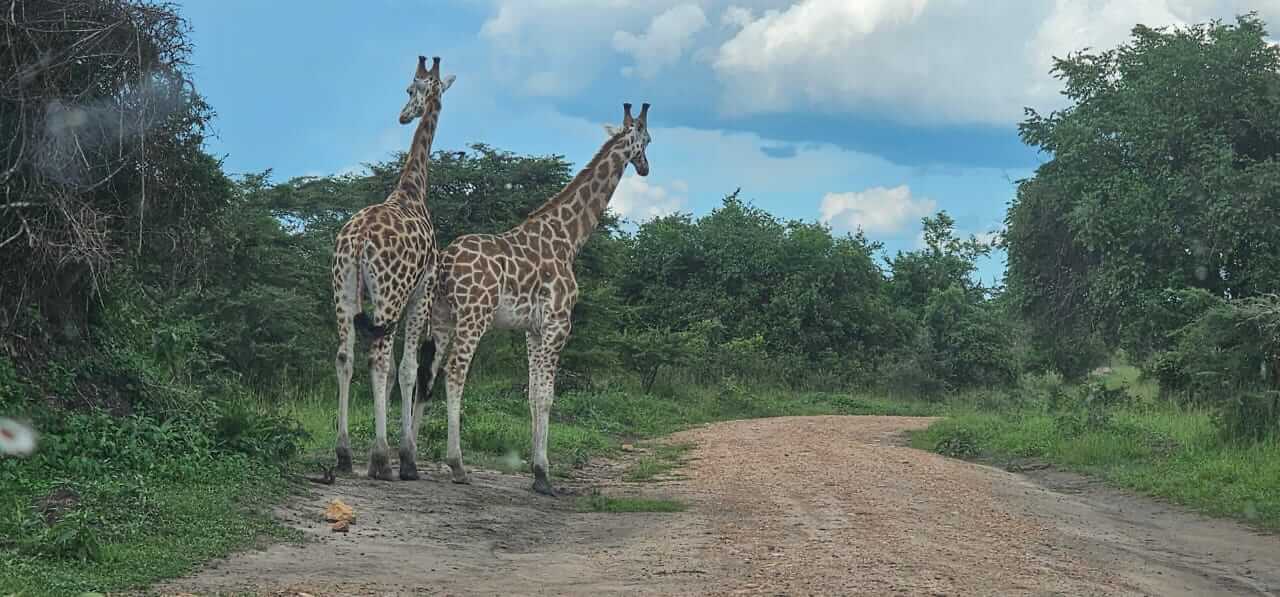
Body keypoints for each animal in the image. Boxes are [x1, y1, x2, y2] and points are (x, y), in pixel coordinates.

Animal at [330, 55, 454, 481]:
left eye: (412, 88)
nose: (403, 115)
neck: (412, 191)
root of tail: (358, 240)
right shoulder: (420, 291)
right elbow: (407, 369)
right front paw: (406, 458)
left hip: (343, 288)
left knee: (345, 357)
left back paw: (344, 454)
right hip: (388, 292)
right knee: (380, 360)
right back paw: (384, 459)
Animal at [411, 102, 653, 495]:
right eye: (647, 140)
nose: (646, 167)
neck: (569, 237)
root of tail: (445, 263)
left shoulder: (533, 330)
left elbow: (530, 394)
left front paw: (537, 473)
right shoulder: (558, 323)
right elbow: (545, 395)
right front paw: (543, 474)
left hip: (442, 317)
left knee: (425, 373)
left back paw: (410, 457)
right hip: (474, 316)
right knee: (454, 373)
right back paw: (457, 464)